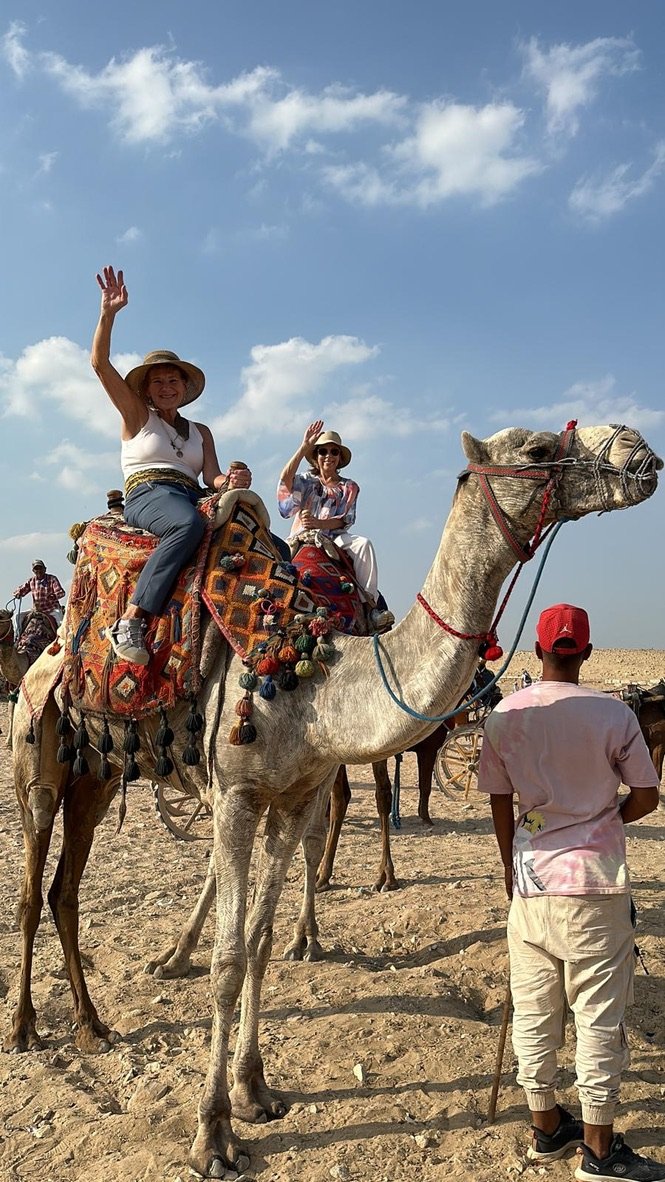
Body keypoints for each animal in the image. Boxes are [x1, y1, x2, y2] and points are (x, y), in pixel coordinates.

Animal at [7, 423, 661, 1179]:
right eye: (533, 450)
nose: (639, 452)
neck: (314, 684)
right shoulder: (237, 795)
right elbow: (229, 961)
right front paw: (212, 1134)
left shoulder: (293, 797)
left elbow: (258, 944)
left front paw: (254, 1091)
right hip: (38, 757)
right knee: (32, 886)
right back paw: (26, 1028)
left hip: (98, 775)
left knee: (66, 889)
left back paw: (92, 1025)